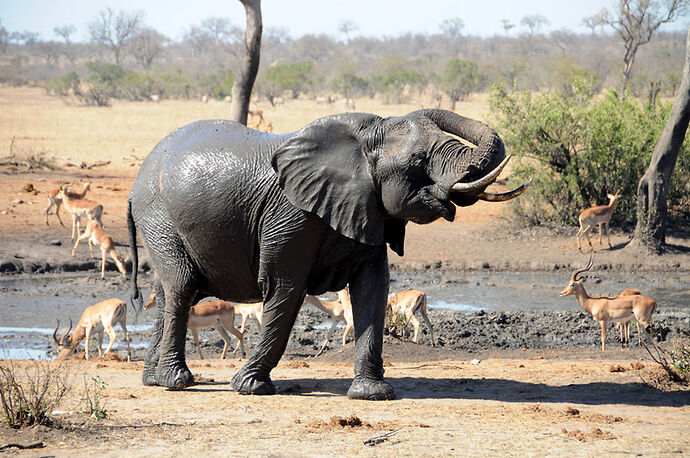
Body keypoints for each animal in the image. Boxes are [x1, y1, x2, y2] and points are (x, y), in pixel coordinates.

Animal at [127, 109, 528, 398]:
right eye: (418, 160)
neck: (364, 140)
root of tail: (135, 187)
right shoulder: (290, 215)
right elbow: (285, 288)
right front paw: (251, 387)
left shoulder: (367, 209)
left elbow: (372, 288)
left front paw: (372, 394)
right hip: (158, 215)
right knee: (182, 286)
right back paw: (177, 382)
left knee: (167, 292)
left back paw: (154, 381)